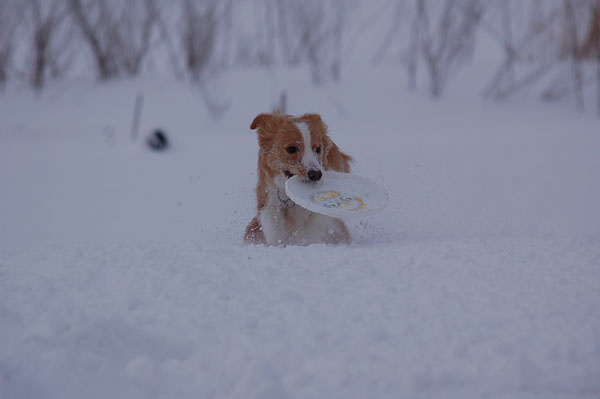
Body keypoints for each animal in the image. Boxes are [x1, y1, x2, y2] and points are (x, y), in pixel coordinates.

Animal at [244, 111, 352, 245]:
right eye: (291, 148)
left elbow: (313, 227)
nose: (316, 174)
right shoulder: (270, 201)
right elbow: (274, 230)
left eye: (318, 149)